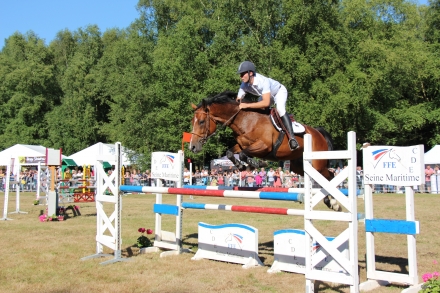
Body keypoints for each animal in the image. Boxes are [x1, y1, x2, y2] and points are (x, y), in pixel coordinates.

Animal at [190, 89, 340, 210]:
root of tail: (318, 133)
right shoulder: (242, 145)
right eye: (193, 122)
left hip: (317, 164)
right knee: (322, 179)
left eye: (201, 122)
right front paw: (241, 166)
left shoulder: (264, 146)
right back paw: (330, 202)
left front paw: (256, 164)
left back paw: (334, 202)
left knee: (329, 176)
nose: (192, 147)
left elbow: (244, 155)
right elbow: (230, 152)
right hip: (300, 166)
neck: (245, 120)